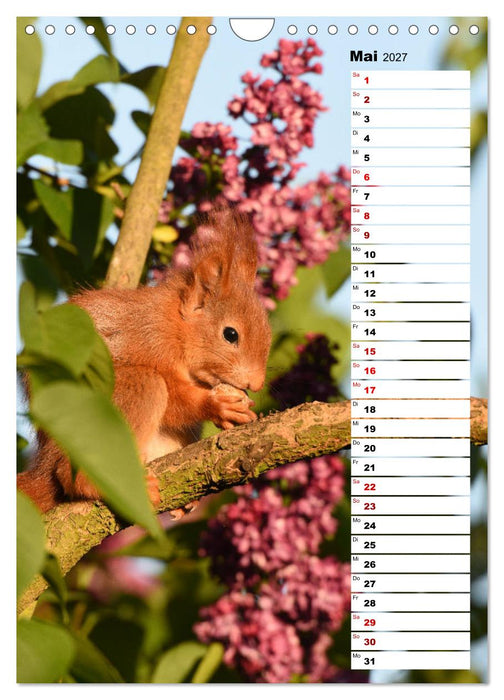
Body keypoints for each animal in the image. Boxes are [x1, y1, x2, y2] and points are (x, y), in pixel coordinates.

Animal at [17, 208, 272, 513]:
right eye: (230, 334)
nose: (256, 383)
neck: (176, 326)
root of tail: (45, 461)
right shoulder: (150, 342)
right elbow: (175, 402)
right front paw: (217, 406)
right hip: (123, 395)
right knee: (70, 474)